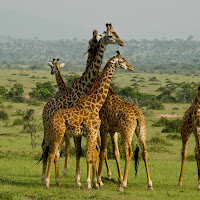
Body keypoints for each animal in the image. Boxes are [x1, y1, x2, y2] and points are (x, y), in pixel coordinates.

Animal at [41, 23, 125, 186]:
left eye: (116, 34)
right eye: (109, 36)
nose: (122, 43)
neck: (85, 88)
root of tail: (45, 107)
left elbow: (91, 150)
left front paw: (92, 179)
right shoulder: (78, 129)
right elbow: (78, 151)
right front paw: (79, 179)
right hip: (48, 127)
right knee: (47, 147)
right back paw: (45, 177)